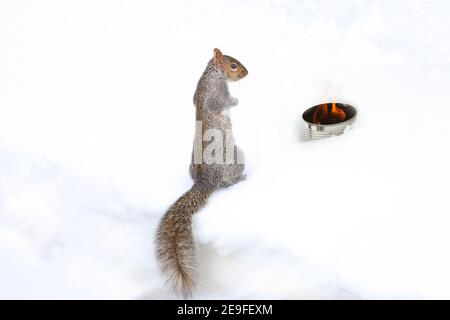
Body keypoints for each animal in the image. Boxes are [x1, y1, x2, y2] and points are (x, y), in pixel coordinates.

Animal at [154, 48, 246, 298]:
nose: (246, 73)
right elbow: (224, 101)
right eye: (233, 65)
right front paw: (236, 100)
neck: (211, 73)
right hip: (236, 157)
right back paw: (241, 178)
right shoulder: (217, 92)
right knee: (227, 182)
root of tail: (204, 181)